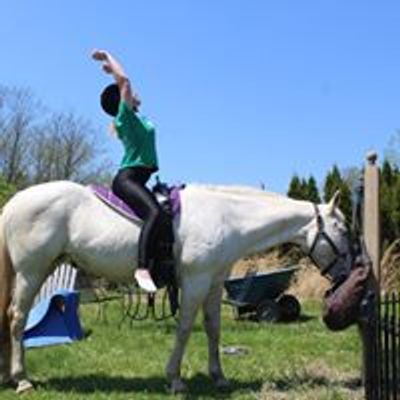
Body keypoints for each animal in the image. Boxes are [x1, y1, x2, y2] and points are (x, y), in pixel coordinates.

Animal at [0, 181, 352, 394]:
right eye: (343, 228)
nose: (348, 272)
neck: (225, 217)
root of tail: (16, 200)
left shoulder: (213, 283)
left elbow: (213, 328)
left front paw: (219, 377)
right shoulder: (195, 282)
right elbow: (184, 329)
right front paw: (175, 379)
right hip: (32, 272)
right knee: (17, 317)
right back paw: (21, 379)